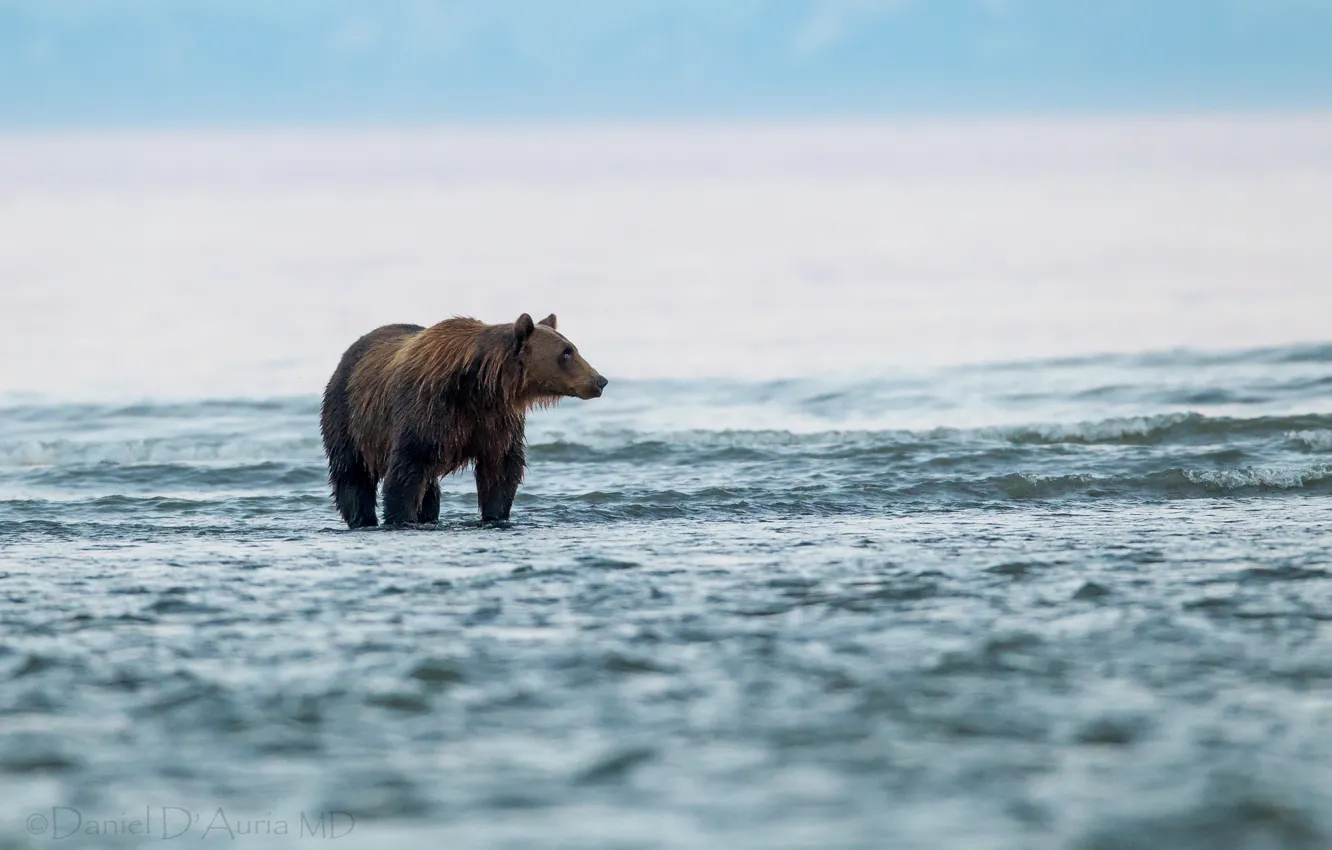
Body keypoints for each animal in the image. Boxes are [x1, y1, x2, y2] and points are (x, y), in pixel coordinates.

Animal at [319, 313, 607, 529]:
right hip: (347, 414)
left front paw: (495, 515)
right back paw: (362, 518)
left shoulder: (496, 420)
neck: (480, 385)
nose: (600, 380)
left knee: (429, 488)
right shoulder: (428, 410)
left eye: (572, 348)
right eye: (566, 353)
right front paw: (400, 517)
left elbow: (501, 468)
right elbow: (406, 469)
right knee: (352, 473)